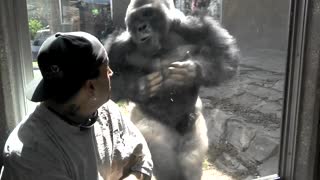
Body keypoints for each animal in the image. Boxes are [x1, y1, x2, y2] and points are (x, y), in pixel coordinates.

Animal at [105, 0, 240, 179]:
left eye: (147, 13)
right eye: (135, 18)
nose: (141, 27)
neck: (163, 40)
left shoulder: (196, 26)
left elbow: (224, 56)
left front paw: (192, 71)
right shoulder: (118, 45)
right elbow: (107, 87)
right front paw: (139, 87)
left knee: (190, 160)